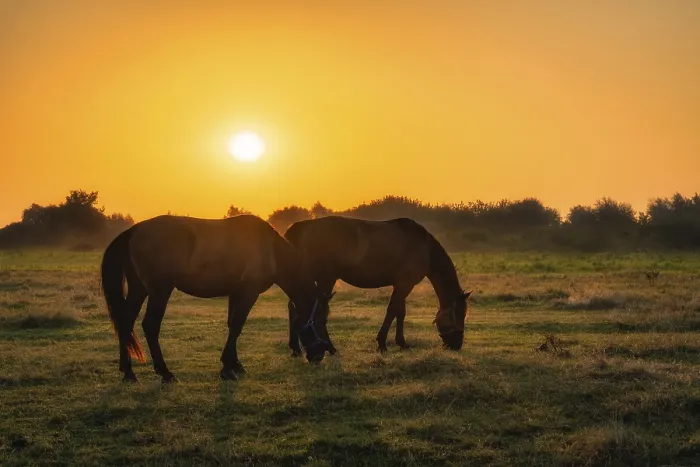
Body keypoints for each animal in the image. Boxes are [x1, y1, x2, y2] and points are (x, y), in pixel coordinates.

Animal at [100, 214, 333, 383]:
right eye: (319, 320)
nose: (320, 355)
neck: (270, 248)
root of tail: (135, 231)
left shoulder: (236, 292)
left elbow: (232, 325)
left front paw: (234, 364)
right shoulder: (249, 292)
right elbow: (238, 325)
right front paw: (228, 368)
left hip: (139, 289)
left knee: (125, 323)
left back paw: (128, 373)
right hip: (160, 290)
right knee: (149, 326)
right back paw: (164, 372)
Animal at [284, 215, 471, 355]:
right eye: (460, 314)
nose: (457, 344)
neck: (424, 247)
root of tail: (300, 229)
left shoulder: (401, 284)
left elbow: (400, 312)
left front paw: (402, 343)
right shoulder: (406, 284)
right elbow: (392, 310)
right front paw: (382, 344)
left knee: (294, 308)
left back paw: (296, 349)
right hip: (325, 279)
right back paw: (330, 348)